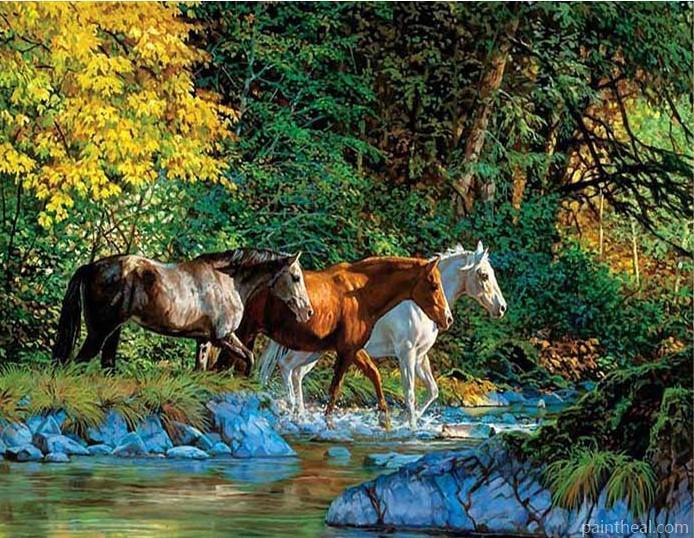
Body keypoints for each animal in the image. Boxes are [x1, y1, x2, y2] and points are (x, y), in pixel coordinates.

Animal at [52, 248, 313, 372]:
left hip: (112, 331)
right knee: (76, 364)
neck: (228, 281)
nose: (308, 312)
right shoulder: (223, 337)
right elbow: (249, 358)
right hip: (99, 332)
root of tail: (90, 267)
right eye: (296, 277)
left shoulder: (204, 341)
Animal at [197, 255, 453, 427]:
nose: (447, 318)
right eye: (434, 285)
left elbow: (374, 376)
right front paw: (328, 424)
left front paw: (386, 423)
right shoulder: (351, 351)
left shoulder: (354, 349)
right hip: (246, 335)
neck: (361, 293)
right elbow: (336, 389)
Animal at [260, 241, 506, 429]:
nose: (502, 308)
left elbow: (432, 391)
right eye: (484, 275)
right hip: (310, 350)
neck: (415, 305)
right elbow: (409, 393)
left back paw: (299, 415)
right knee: (287, 366)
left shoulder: (420, 356)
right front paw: (410, 427)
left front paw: (407, 420)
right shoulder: (406, 353)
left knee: (295, 372)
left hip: (316, 351)